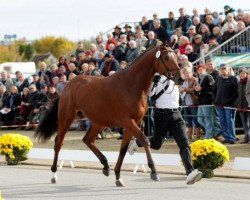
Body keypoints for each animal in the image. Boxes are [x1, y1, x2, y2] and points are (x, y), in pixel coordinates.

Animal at [34, 41, 180, 187]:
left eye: (176, 56)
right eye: (167, 57)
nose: (179, 77)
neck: (131, 85)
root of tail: (68, 86)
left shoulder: (134, 123)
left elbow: (123, 148)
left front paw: (118, 176)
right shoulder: (127, 121)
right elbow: (144, 140)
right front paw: (153, 171)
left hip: (97, 122)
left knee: (87, 140)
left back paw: (105, 165)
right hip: (67, 118)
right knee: (59, 142)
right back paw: (54, 174)